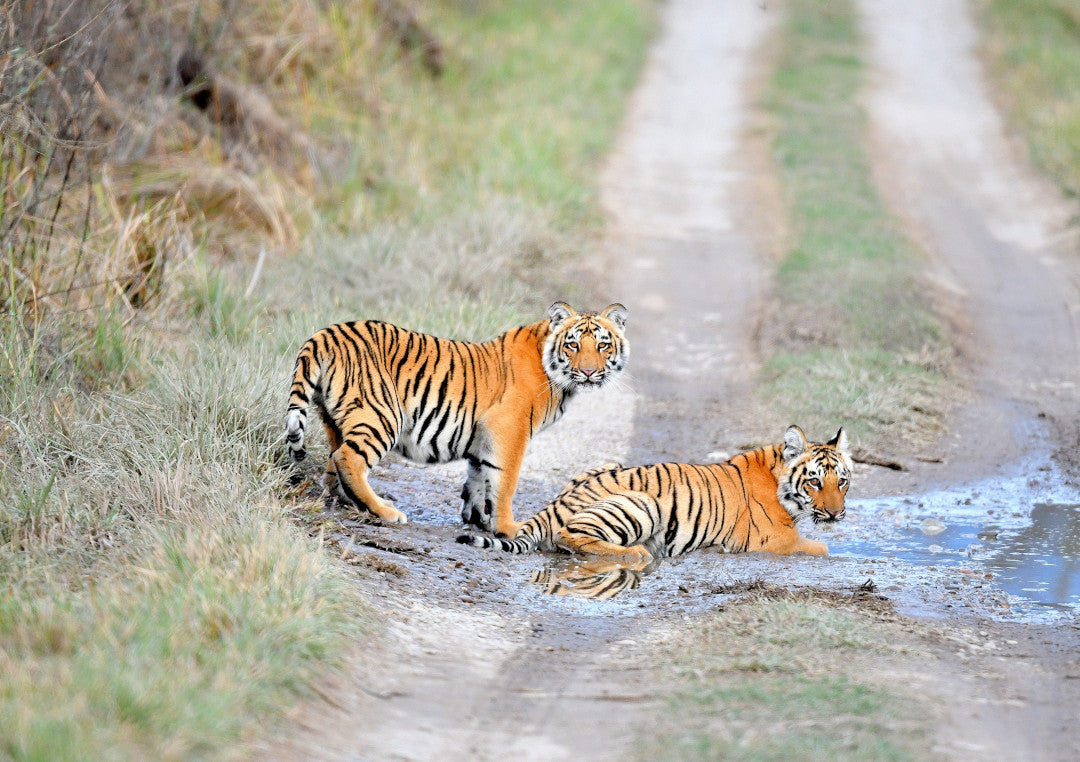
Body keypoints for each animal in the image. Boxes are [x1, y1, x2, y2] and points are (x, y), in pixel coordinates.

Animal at [282, 302, 630, 535]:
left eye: (603, 345)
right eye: (573, 344)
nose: (589, 371)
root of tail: (325, 333)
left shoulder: (483, 435)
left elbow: (478, 477)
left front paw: (477, 518)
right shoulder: (509, 430)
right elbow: (505, 482)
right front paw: (508, 527)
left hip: (335, 420)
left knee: (333, 461)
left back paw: (347, 501)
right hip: (382, 415)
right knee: (348, 459)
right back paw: (385, 511)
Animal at [455, 425, 851, 561]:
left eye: (842, 482)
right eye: (815, 482)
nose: (836, 513)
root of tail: (551, 507)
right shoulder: (777, 540)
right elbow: (821, 547)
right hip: (642, 502)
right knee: (572, 536)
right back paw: (638, 553)